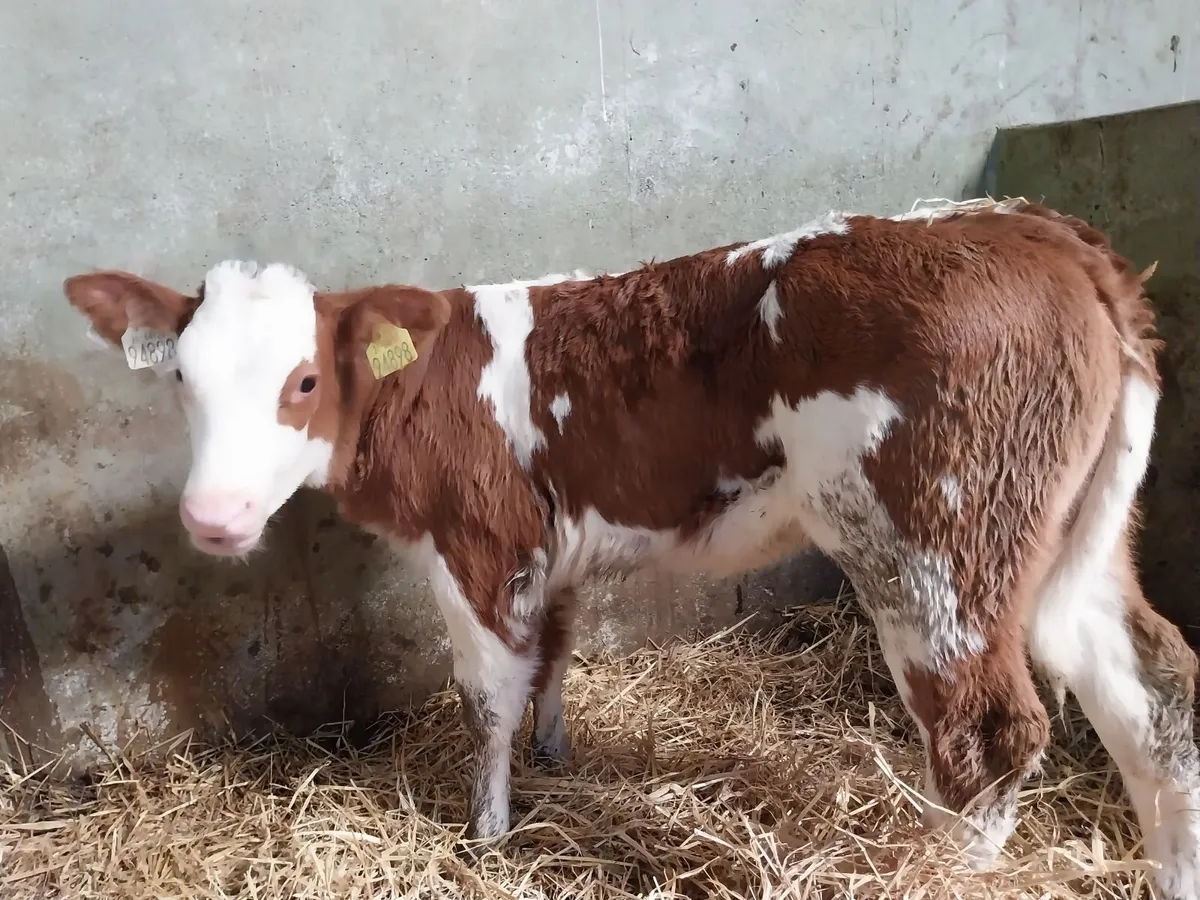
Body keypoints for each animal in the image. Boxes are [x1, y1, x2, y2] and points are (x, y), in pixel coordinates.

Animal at [64, 198, 1200, 898]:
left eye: (303, 381)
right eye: (181, 379)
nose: (213, 518)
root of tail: (1037, 231)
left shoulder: (478, 541)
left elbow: (487, 695)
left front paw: (487, 832)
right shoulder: (556, 549)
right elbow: (553, 658)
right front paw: (554, 757)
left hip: (937, 546)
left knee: (991, 729)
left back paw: (947, 863)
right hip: (1068, 543)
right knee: (1154, 695)